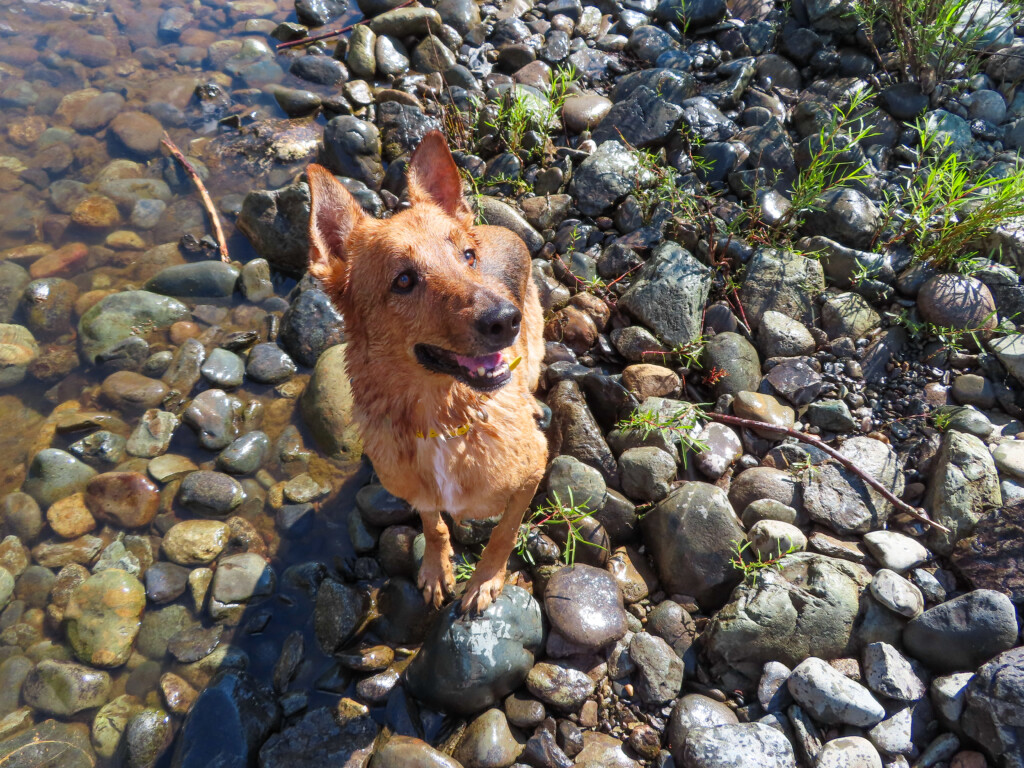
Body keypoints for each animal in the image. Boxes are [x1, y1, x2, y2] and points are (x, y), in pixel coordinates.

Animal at [303, 131, 548, 614]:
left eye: (468, 257)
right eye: (403, 280)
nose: (504, 320)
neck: (442, 418)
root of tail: (497, 227)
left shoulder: (535, 468)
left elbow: (503, 531)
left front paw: (485, 580)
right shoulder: (418, 492)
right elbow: (434, 526)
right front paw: (437, 569)